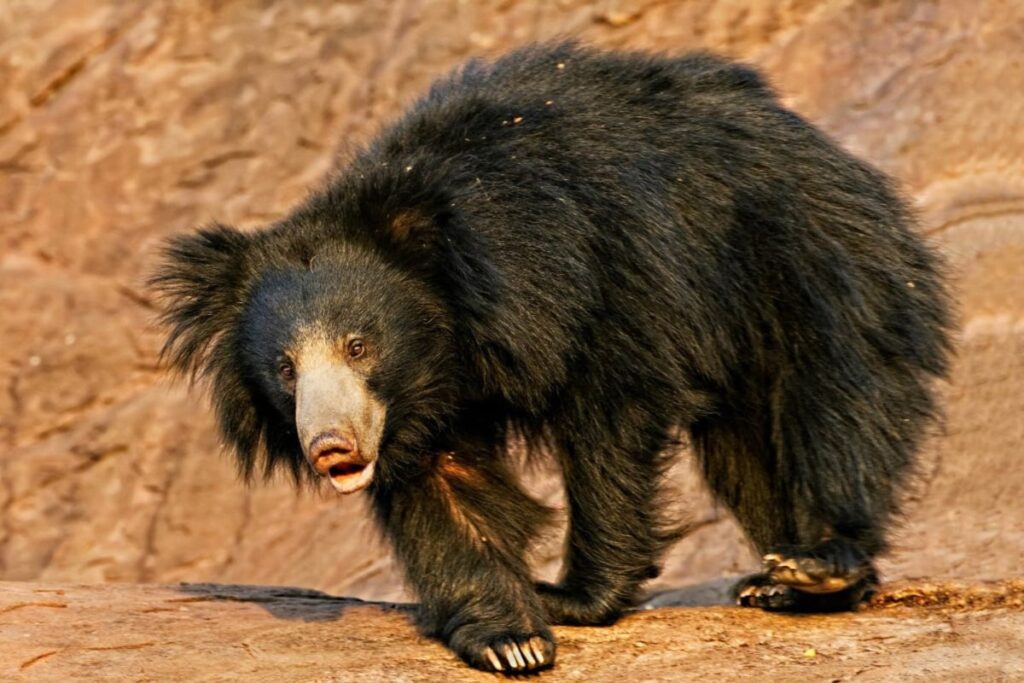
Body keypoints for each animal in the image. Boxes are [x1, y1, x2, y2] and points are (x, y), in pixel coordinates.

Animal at [152, 43, 953, 674]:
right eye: (285, 367)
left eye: (359, 344)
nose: (331, 447)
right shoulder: (420, 400)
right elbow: (444, 481)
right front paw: (508, 637)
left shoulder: (608, 273)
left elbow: (612, 422)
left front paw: (570, 597)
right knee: (746, 455)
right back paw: (778, 577)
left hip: (812, 261)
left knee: (837, 408)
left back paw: (819, 565)